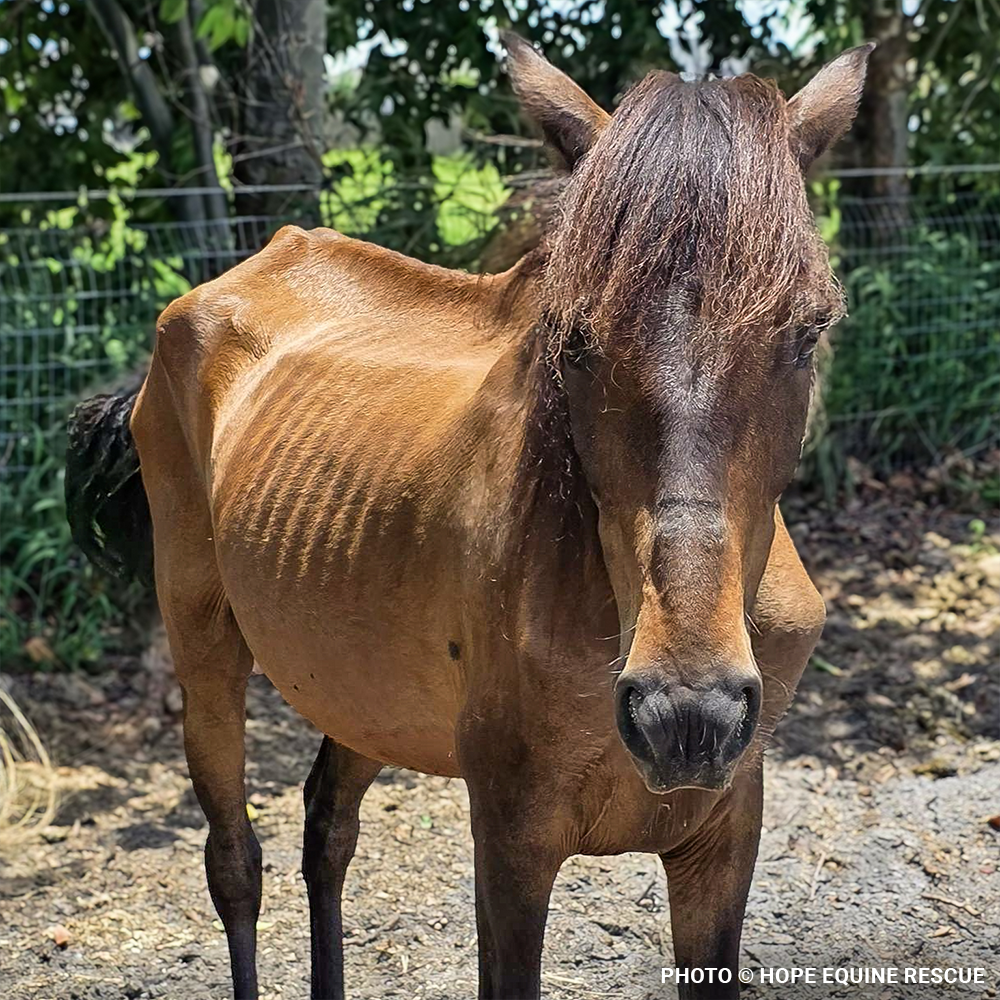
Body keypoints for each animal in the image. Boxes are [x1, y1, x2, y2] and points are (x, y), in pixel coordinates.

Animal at [67, 32, 872, 1000]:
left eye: (808, 332)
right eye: (575, 338)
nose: (687, 715)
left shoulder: (721, 844)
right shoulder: (512, 843)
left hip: (361, 688)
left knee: (327, 829)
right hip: (206, 651)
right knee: (236, 865)